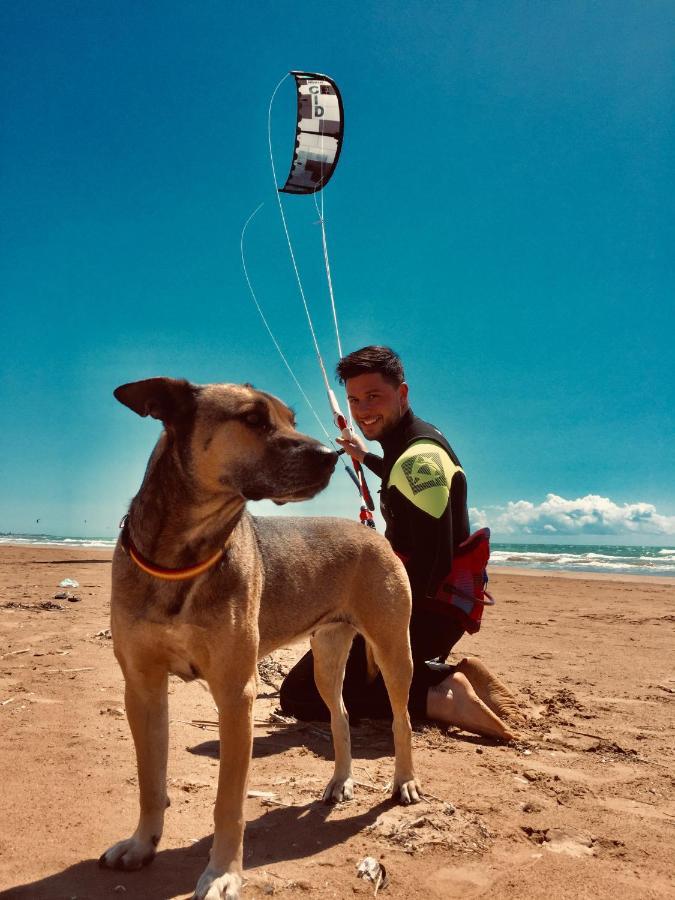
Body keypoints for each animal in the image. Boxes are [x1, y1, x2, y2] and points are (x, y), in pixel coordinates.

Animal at [98, 378, 420, 900]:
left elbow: (228, 801)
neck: (184, 552)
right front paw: (141, 844)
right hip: (327, 655)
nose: (332, 455)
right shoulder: (142, 689)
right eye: (252, 418)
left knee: (401, 718)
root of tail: (372, 531)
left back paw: (405, 781)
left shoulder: (235, 694)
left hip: (393, 649)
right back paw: (340, 780)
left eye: (291, 418)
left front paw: (223, 873)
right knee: (341, 715)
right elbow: (150, 780)